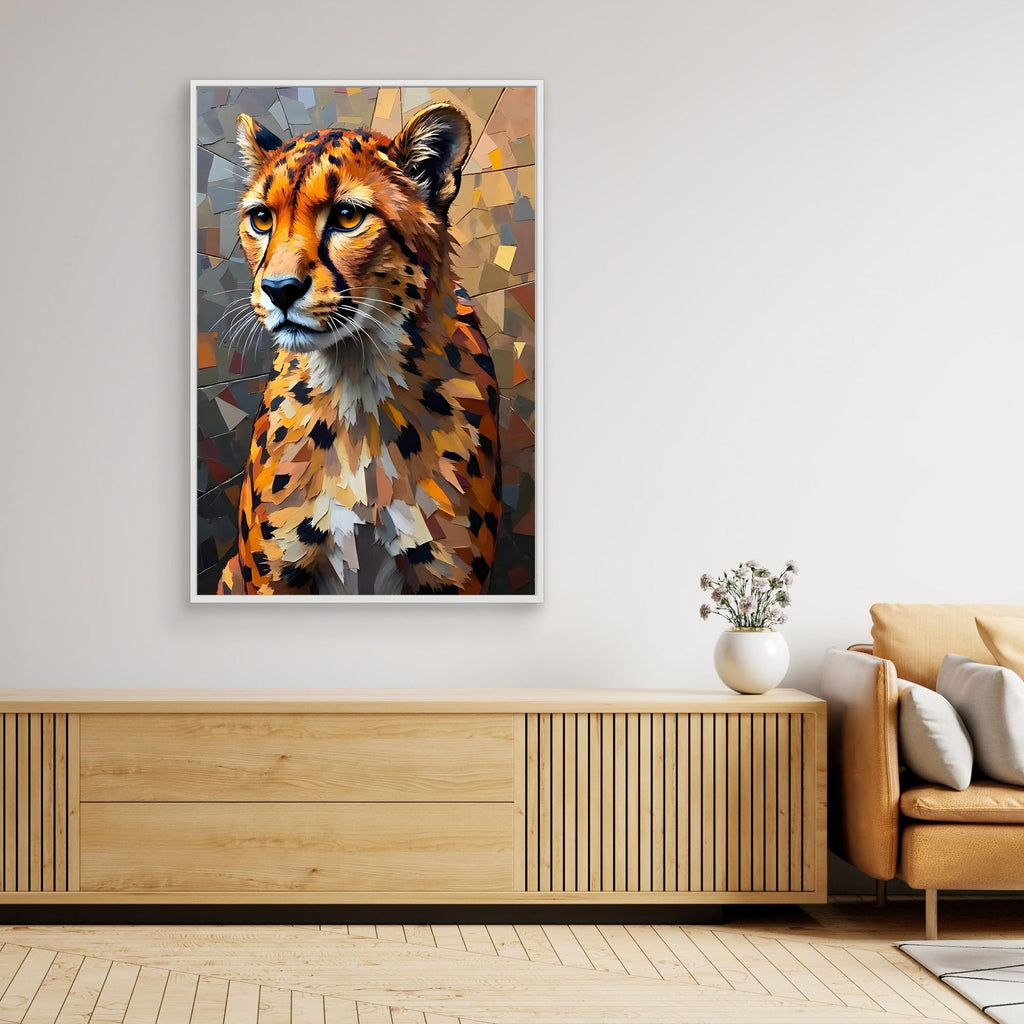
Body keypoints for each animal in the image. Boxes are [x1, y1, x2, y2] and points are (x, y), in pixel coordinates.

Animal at [215, 103, 502, 596]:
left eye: (348, 216)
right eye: (262, 219)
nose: (279, 289)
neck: (357, 378)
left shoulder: (452, 577)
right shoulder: (273, 577)